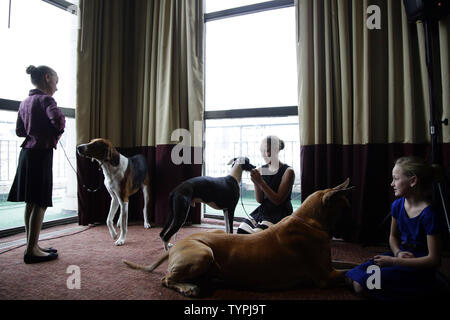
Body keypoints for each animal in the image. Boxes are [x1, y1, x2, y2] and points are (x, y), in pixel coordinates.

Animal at [123, 179, 356, 296]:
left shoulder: (329, 264)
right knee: (166, 278)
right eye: (346, 208)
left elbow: (352, 264)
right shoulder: (326, 276)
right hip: (203, 253)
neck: (308, 220)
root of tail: (176, 245)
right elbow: (347, 273)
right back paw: (188, 288)